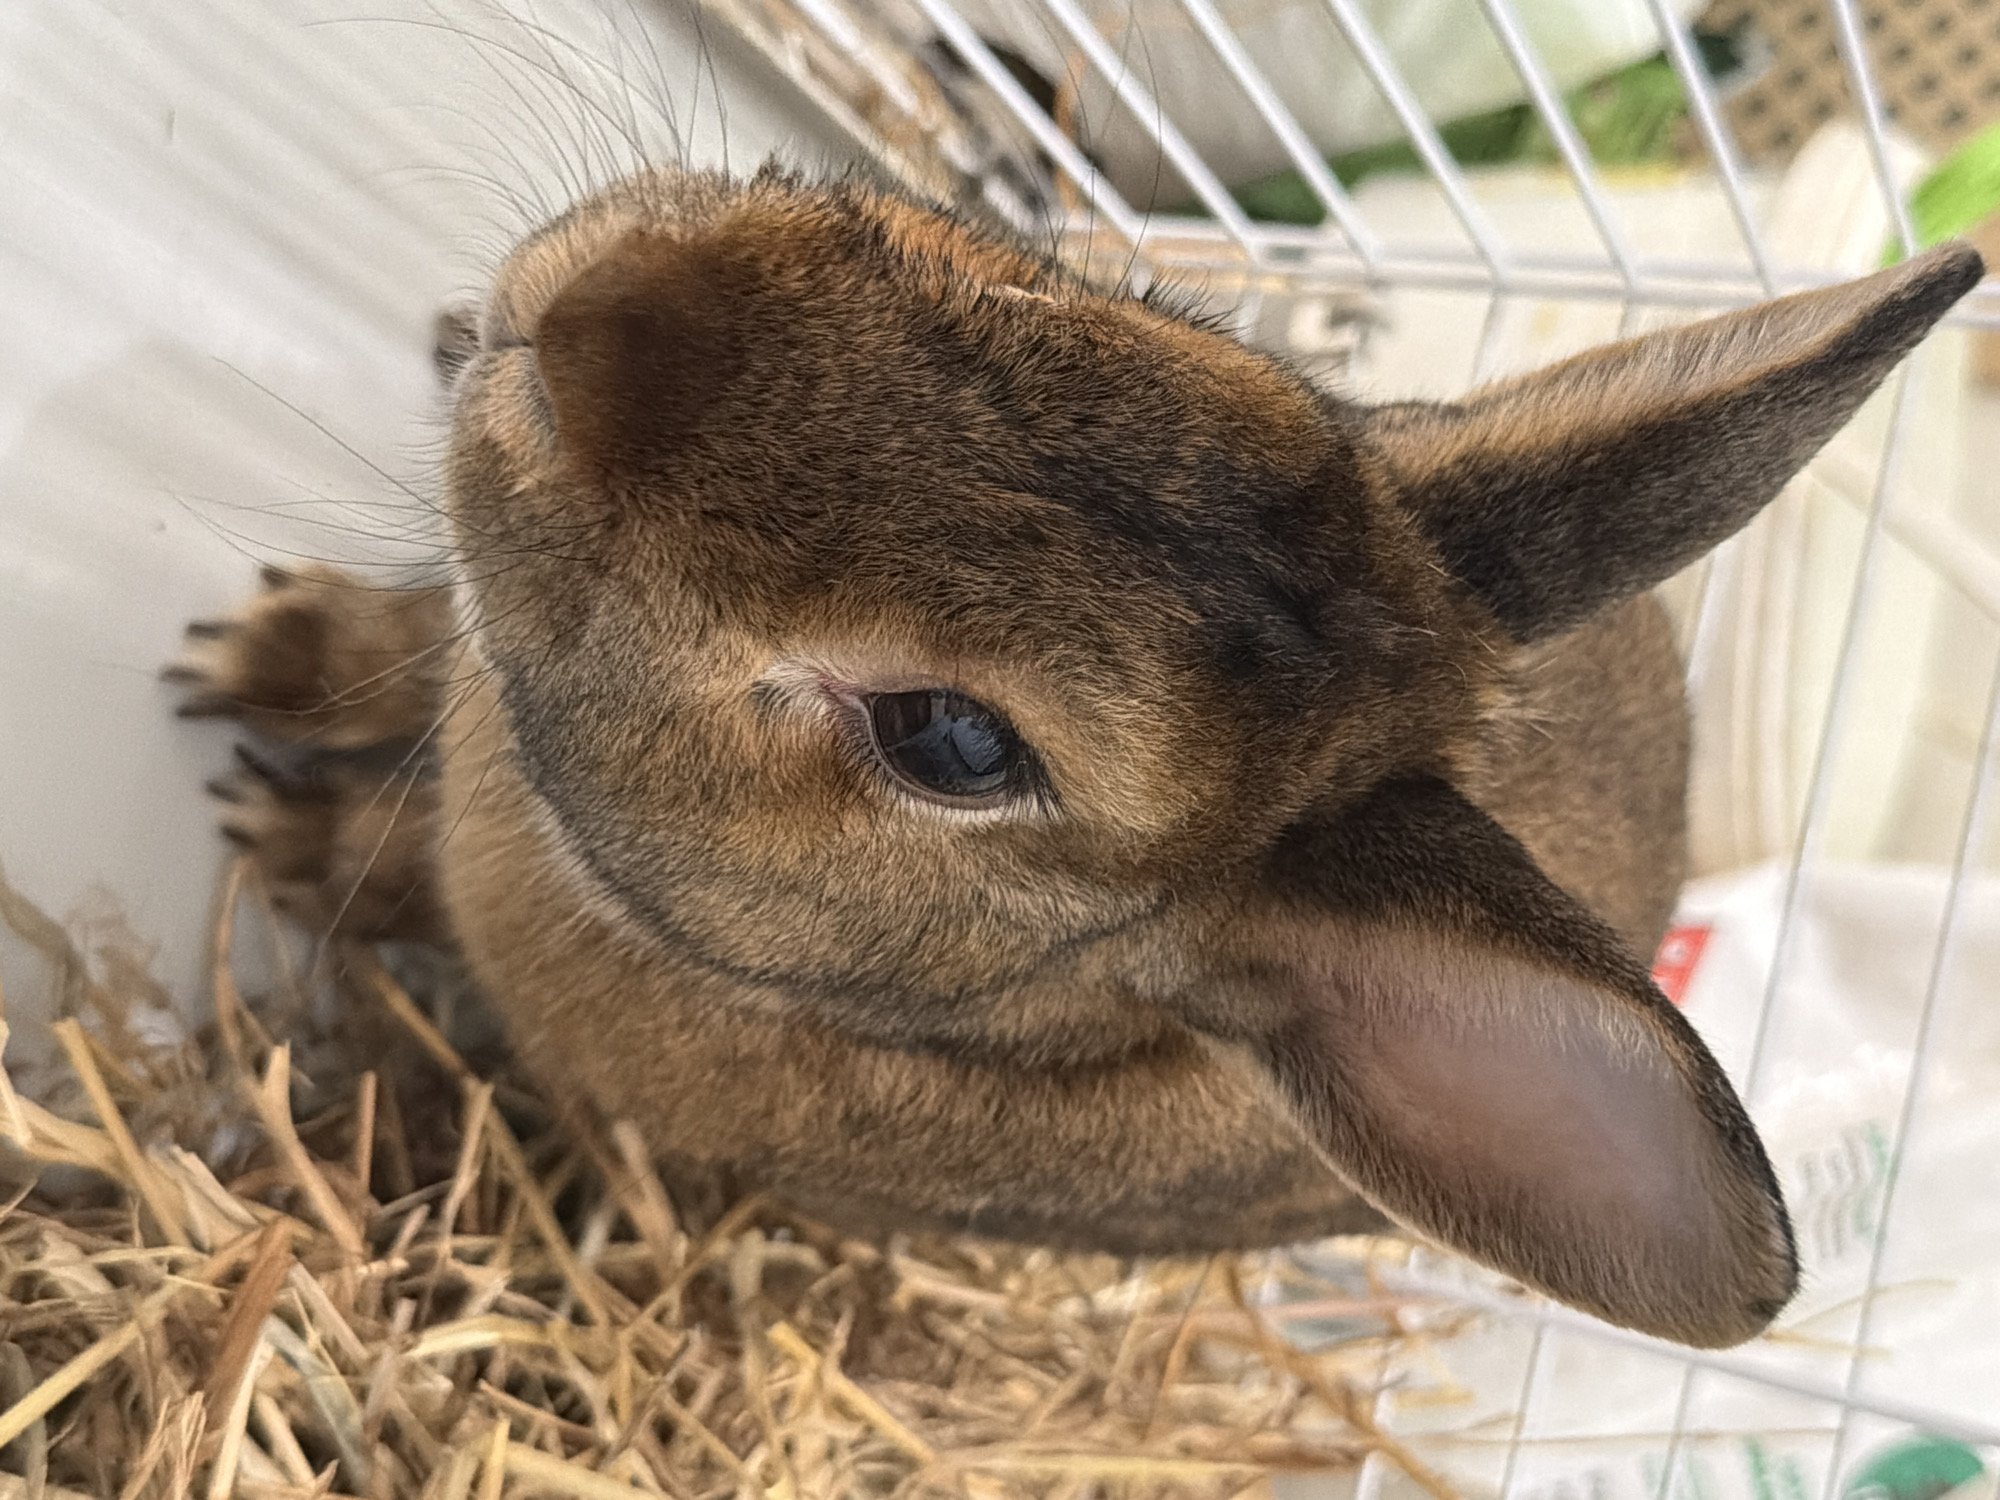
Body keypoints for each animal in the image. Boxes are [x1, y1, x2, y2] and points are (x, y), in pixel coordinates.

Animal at [168, 164, 1983, 1349]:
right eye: (1088, 314)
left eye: (952, 741)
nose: (593, 322)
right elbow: (417, 641)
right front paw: (270, 655)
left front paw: (283, 833)